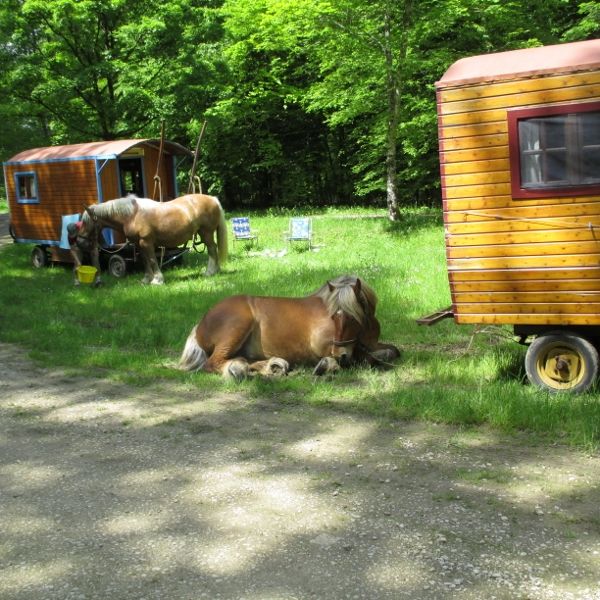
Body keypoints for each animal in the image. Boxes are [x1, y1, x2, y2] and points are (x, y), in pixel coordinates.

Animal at [79, 193, 227, 284]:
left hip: (206, 233)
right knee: (213, 249)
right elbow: (145, 261)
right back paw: (216, 270)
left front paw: (157, 280)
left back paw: (210, 272)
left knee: (212, 249)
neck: (132, 215)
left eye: (86, 222)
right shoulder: (138, 244)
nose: (80, 242)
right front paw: (146, 279)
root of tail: (213, 199)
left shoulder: (146, 242)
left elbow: (152, 260)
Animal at [178, 274, 404, 378]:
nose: (341, 354)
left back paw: (273, 365)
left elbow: (392, 351)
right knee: (214, 363)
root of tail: (200, 324)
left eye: (353, 317)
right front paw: (327, 365)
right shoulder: (323, 345)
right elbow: (362, 357)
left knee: (243, 359)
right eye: (334, 316)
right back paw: (239, 368)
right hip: (237, 327)